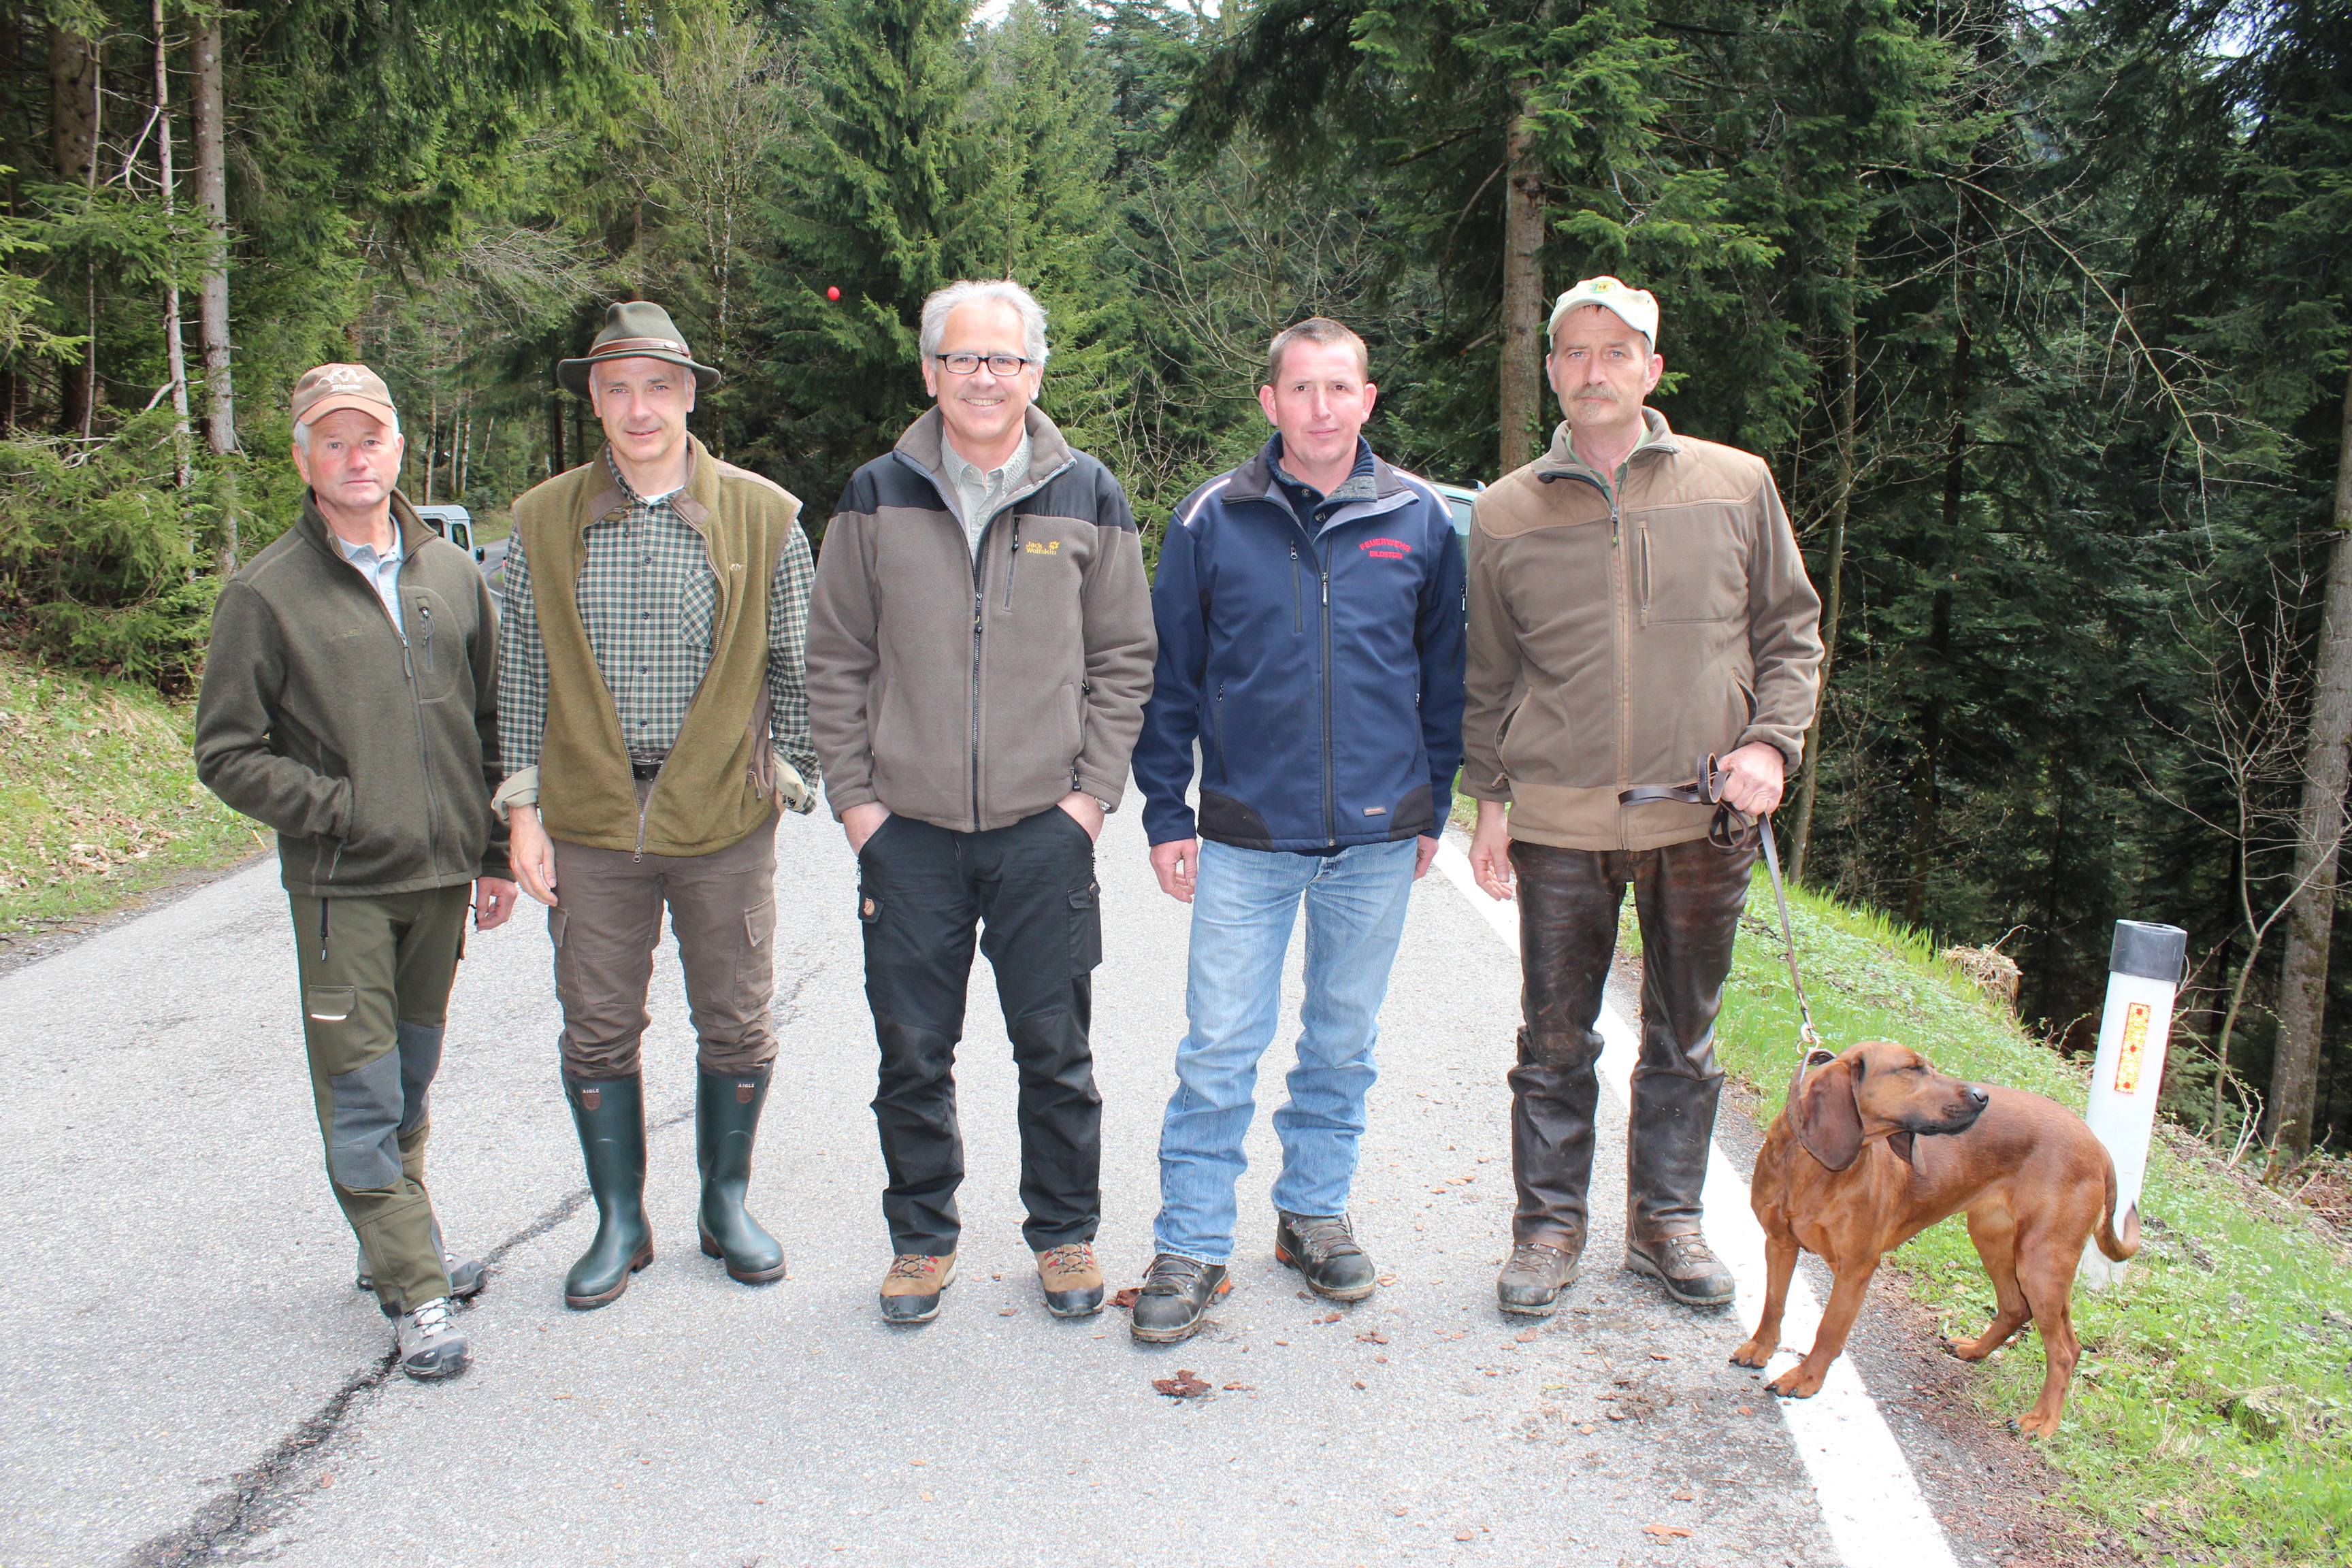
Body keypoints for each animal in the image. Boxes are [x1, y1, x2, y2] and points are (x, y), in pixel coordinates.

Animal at [1730, 1040, 2139, 1437]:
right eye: (1912, 1069)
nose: (1982, 1096)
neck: (1811, 1168)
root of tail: (2100, 1148)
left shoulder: (1856, 1269)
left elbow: (1829, 1330)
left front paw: (1806, 1379)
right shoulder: (1779, 1243)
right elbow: (1773, 1303)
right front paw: (1761, 1348)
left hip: (2041, 1261)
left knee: (2066, 1350)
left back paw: (2040, 1422)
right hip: (1995, 1239)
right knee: (2016, 1308)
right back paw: (1974, 1350)